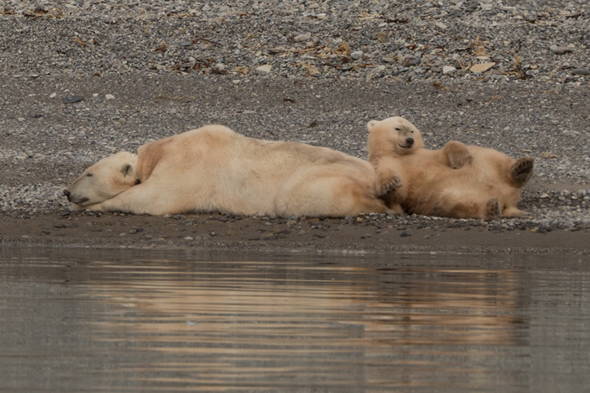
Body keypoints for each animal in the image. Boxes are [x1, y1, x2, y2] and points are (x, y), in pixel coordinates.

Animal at [65, 124, 390, 216]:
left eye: (88, 172)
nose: (67, 192)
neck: (157, 154)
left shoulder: (186, 167)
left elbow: (152, 199)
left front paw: (91, 206)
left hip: (319, 180)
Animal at [368, 116, 536, 219]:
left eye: (411, 130)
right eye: (397, 128)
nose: (410, 140)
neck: (400, 155)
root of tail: (508, 200)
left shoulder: (424, 154)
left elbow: (447, 148)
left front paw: (461, 158)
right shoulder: (386, 163)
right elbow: (399, 191)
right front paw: (389, 184)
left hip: (486, 159)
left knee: (497, 157)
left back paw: (522, 166)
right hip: (449, 195)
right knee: (456, 204)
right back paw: (491, 208)